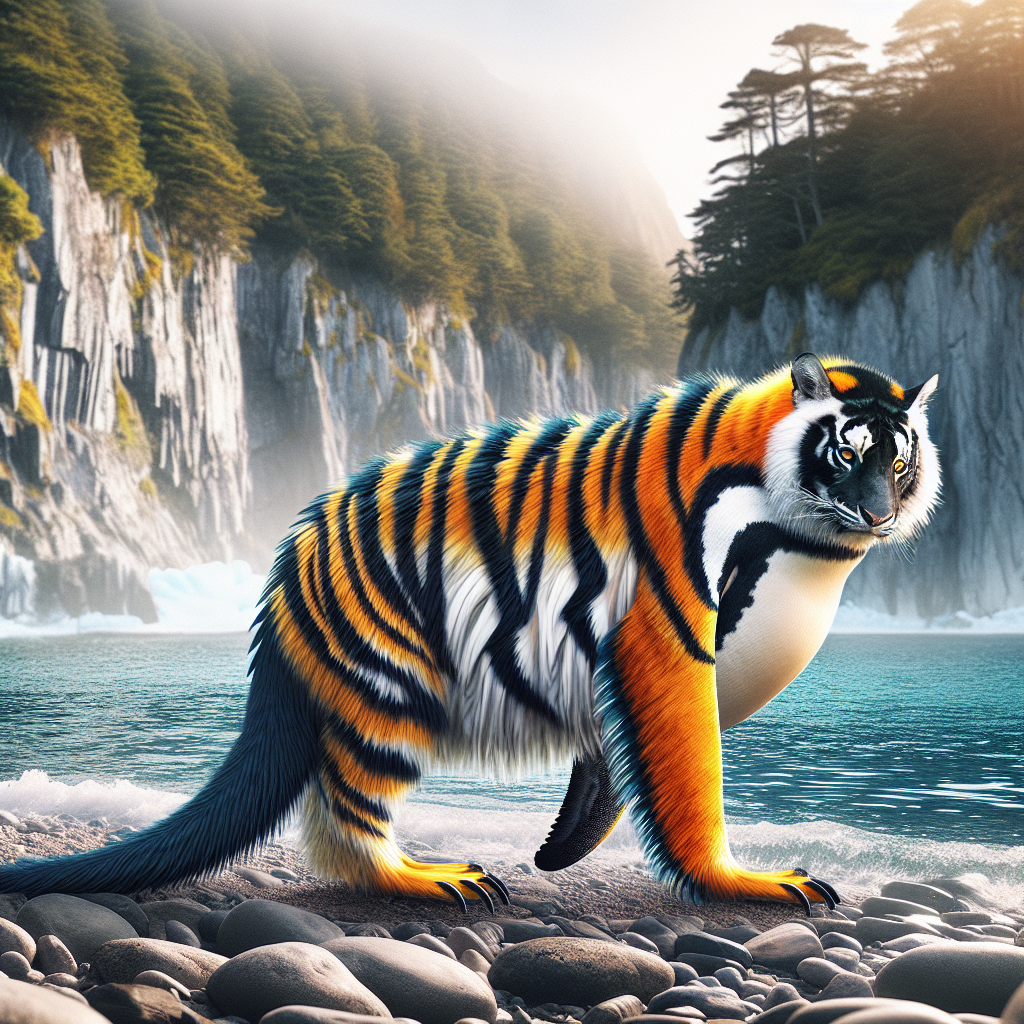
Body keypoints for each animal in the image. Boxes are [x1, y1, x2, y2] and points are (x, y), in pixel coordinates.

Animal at [0, 353, 940, 912]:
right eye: (846, 453)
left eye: (898, 461)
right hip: (388, 681)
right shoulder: (662, 646)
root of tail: (284, 576)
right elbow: (690, 782)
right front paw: (747, 883)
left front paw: (562, 853)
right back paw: (426, 879)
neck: (808, 545)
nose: (879, 515)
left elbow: (609, 773)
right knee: (344, 816)